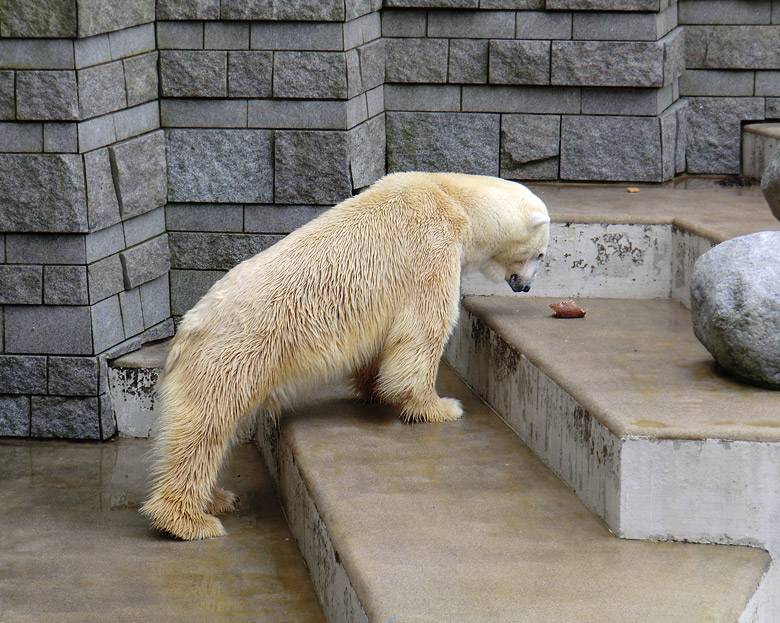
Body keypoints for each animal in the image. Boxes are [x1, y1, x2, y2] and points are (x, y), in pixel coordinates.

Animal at [143, 172, 552, 540]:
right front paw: (439, 407)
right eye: (541, 253)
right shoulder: (431, 247)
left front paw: (375, 389)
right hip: (232, 357)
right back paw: (189, 521)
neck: (452, 194)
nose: (526, 286)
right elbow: (424, 329)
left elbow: (384, 341)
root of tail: (184, 333)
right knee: (203, 429)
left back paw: (216, 499)